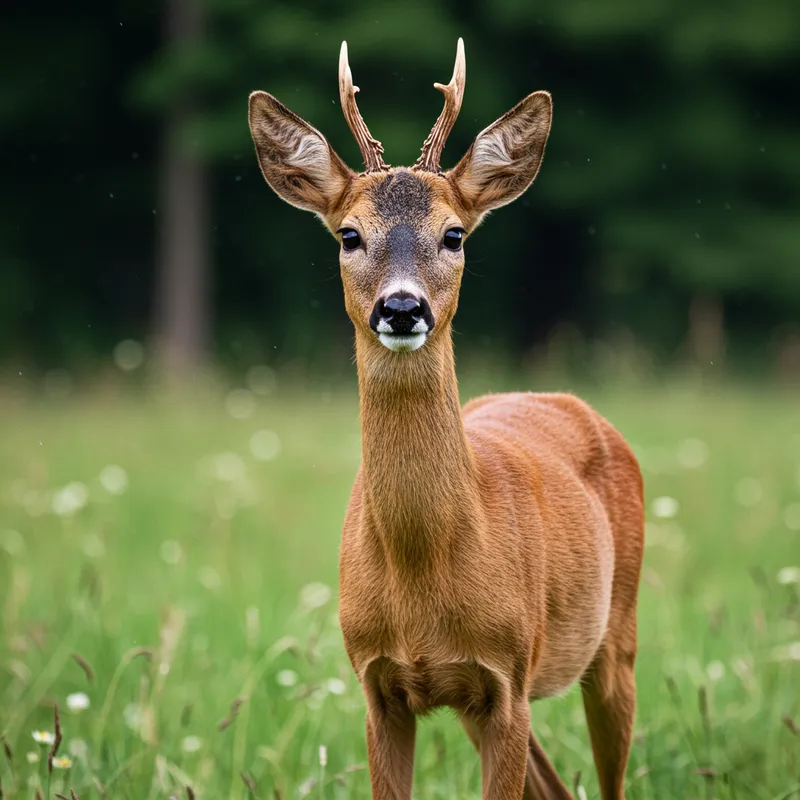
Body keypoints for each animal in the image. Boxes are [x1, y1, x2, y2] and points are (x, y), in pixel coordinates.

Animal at [248, 38, 645, 800]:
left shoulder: (507, 679)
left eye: (454, 234)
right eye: (348, 234)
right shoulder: (379, 686)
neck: (423, 571)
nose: (402, 308)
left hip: (616, 638)